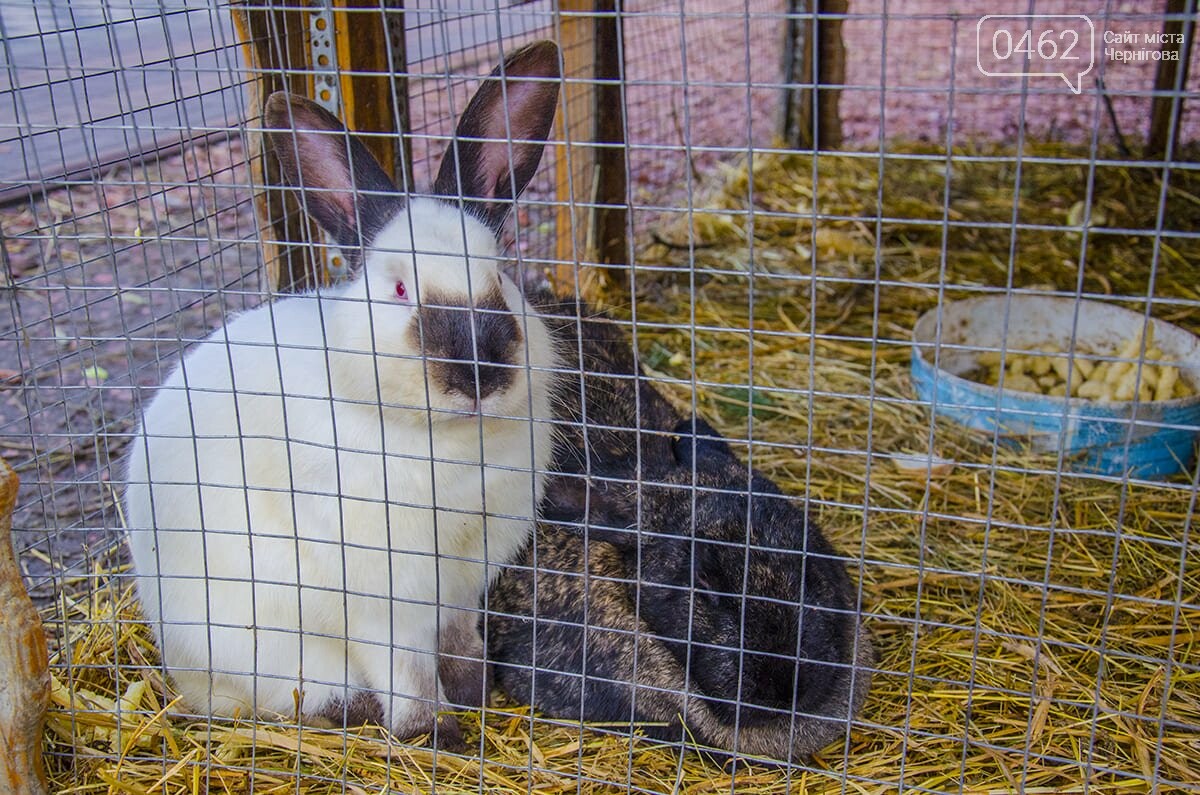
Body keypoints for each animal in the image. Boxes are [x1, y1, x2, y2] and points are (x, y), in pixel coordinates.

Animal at [124, 40, 564, 749]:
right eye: (399, 289)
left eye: (499, 274)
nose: (478, 373)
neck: (449, 441)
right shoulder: (387, 595)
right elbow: (407, 674)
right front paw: (436, 736)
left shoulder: (463, 581)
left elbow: (458, 645)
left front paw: (476, 697)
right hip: (266, 643)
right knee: (305, 698)